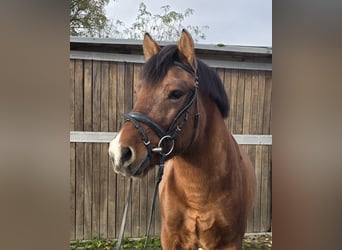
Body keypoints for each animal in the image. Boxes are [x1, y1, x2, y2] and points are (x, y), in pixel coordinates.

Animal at [108, 29, 255, 250]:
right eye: (138, 91)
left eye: (175, 93)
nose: (119, 152)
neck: (198, 192)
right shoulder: (171, 238)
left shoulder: (230, 242)